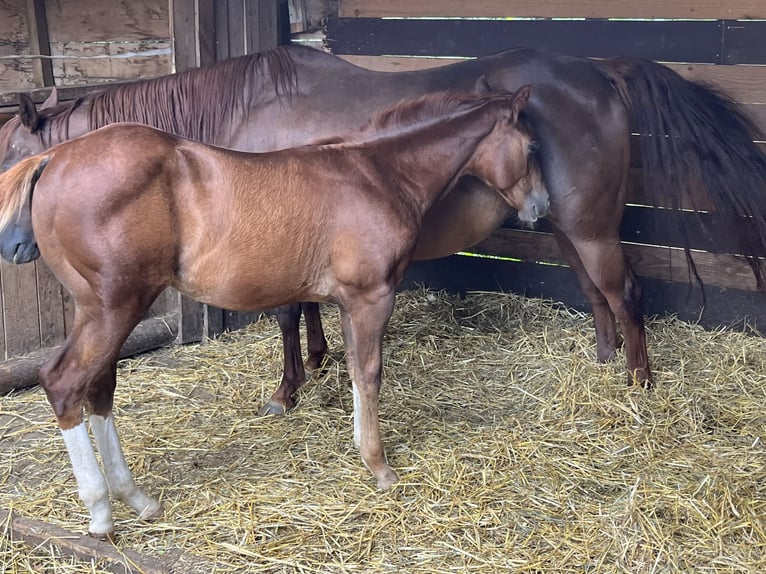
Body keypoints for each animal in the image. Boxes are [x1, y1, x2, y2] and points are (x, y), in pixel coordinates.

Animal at [0, 86, 544, 540]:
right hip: (114, 306)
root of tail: (54, 157)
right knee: (65, 382)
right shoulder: (371, 296)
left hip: (100, 309)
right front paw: (379, 466)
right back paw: (101, 512)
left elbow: (348, 365)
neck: (376, 174)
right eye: (533, 147)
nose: (539, 206)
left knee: (99, 389)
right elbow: (368, 372)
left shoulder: (346, 299)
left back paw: (137, 499)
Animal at [1, 46, 766, 400]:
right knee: (596, 294)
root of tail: (602, 69)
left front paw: (289, 389)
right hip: (567, 226)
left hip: (591, 226)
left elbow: (286, 315)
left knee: (626, 293)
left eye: (15, 159)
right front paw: (315, 362)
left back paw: (639, 385)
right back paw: (606, 363)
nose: (13, 246)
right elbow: (305, 308)